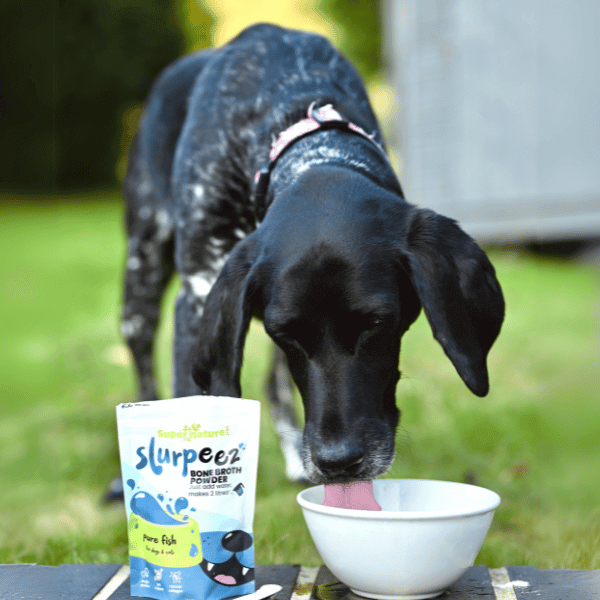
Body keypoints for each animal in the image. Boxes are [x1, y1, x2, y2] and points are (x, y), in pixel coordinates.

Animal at [119, 24, 504, 488]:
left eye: (378, 323)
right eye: (284, 333)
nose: (338, 463)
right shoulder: (199, 293)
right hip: (142, 269)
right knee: (143, 363)